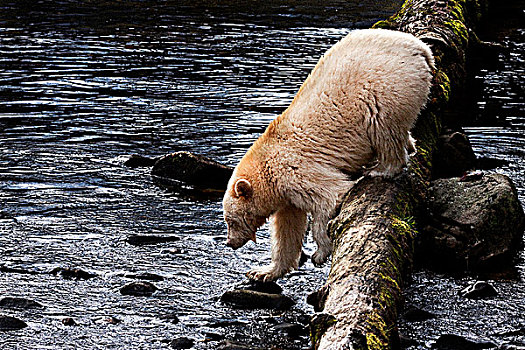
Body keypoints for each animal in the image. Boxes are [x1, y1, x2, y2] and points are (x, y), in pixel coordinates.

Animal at [223, 28, 432, 282]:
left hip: (385, 88)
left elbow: (329, 196)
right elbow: (287, 228)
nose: (229, 242)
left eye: (231, 219)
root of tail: (420, 48)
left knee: (383, 128)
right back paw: (409, 146)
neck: (265, 165)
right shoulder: (285, 195)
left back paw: (380, 169)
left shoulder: (292, 169)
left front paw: (320, 252)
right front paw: (263, 272)